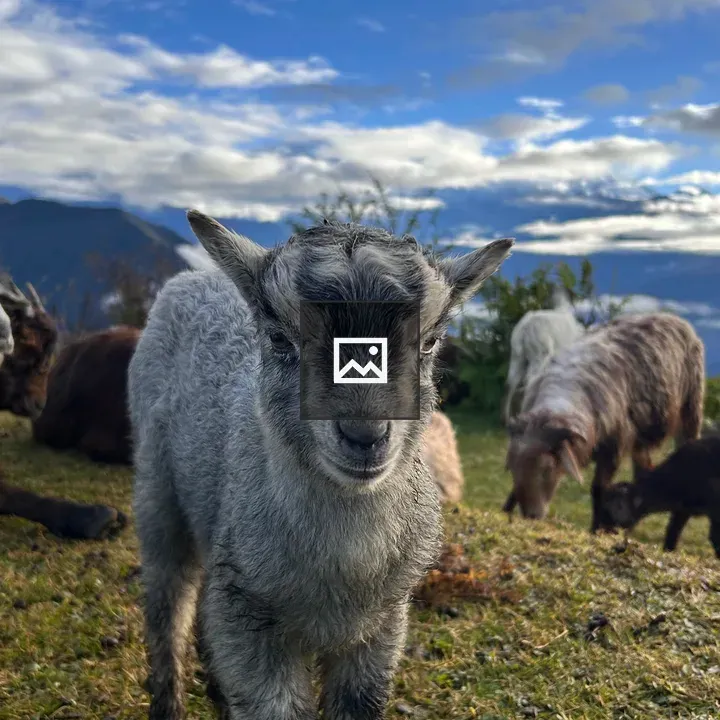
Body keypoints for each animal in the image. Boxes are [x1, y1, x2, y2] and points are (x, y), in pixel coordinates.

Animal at [127, 210, 513, 720]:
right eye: (279, 338)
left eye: (429, 343)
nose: (365, 436)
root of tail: (193, 277)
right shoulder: (249, 626)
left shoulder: (381, 628)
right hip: (158, 496)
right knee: (168, 607)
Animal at [503, 288, 585, 424]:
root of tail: (525, 327)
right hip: (540, 355)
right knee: (530, 381)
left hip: (517, 357)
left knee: (510, 383)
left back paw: (506, 419)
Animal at [503, 312, 704, 533]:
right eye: (513, 467)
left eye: (547, 469)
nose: (531, 515)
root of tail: (669, 315)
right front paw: (506, 510)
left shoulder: (613, 447)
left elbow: (598, 489)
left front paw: (595, 530)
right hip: (640, 438)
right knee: (643, 473)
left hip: (690, 409)